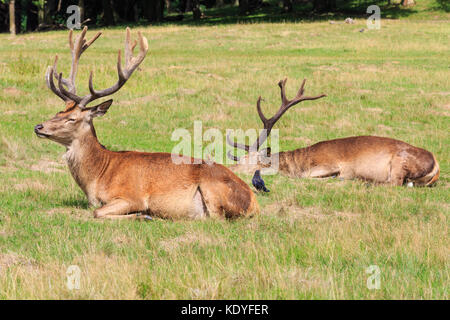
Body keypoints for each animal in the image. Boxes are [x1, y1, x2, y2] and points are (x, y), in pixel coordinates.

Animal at [34, 27, 260, 220]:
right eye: (58, 112)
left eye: (72, 118)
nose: (38, 127)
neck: (97, 178)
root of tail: (254, 202)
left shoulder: (132, 196)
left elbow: (98, 213)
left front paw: (143, 215)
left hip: (212, 189)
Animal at [229, 78, 440, 186]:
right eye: (239, 159)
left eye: (251, 162)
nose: (230, 169)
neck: (298, 164)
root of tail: (437, 165)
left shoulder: (329, 164)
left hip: (399, 162)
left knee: (394, 182)